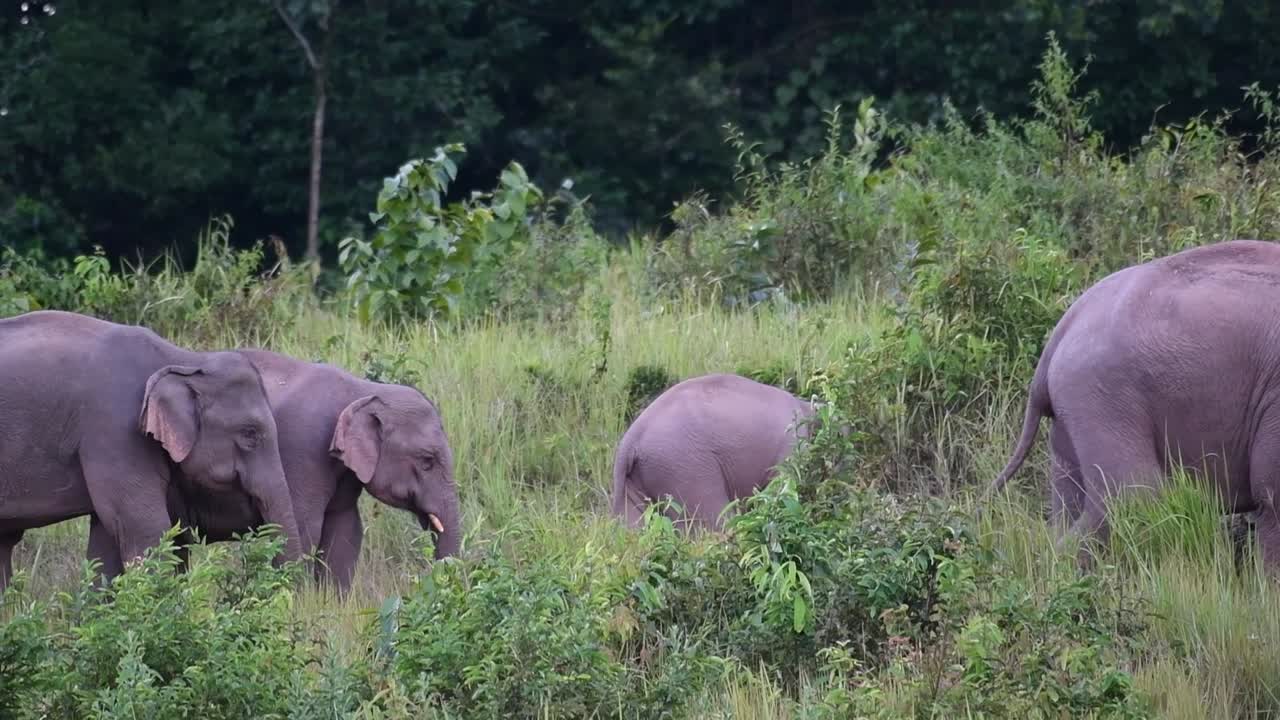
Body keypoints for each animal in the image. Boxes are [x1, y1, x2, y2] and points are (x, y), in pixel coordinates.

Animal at [991, 239, 1280, 571]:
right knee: (1134, 497)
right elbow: (1271, 493)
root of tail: (1064, 326)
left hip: (1072, 408)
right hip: (1101, 393)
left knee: (1070, 502)